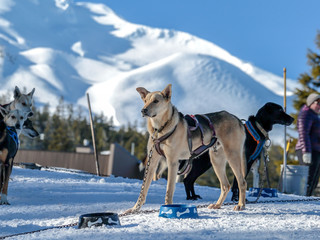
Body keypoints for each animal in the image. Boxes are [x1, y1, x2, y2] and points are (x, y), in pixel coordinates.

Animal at [125, 84, 248, 214]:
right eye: (145, 101)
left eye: (156, 101)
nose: (143, 110)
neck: (160, 129)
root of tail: (237, 119)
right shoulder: (152, 161)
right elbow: (143, 190)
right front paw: (135, 208)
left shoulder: (172, 162)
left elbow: (169, 190)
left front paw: (168, 207)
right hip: (216, 160)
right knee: (225, 185)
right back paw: (217, 205)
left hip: (232, 156)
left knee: (242, 182)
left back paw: (241, 205)